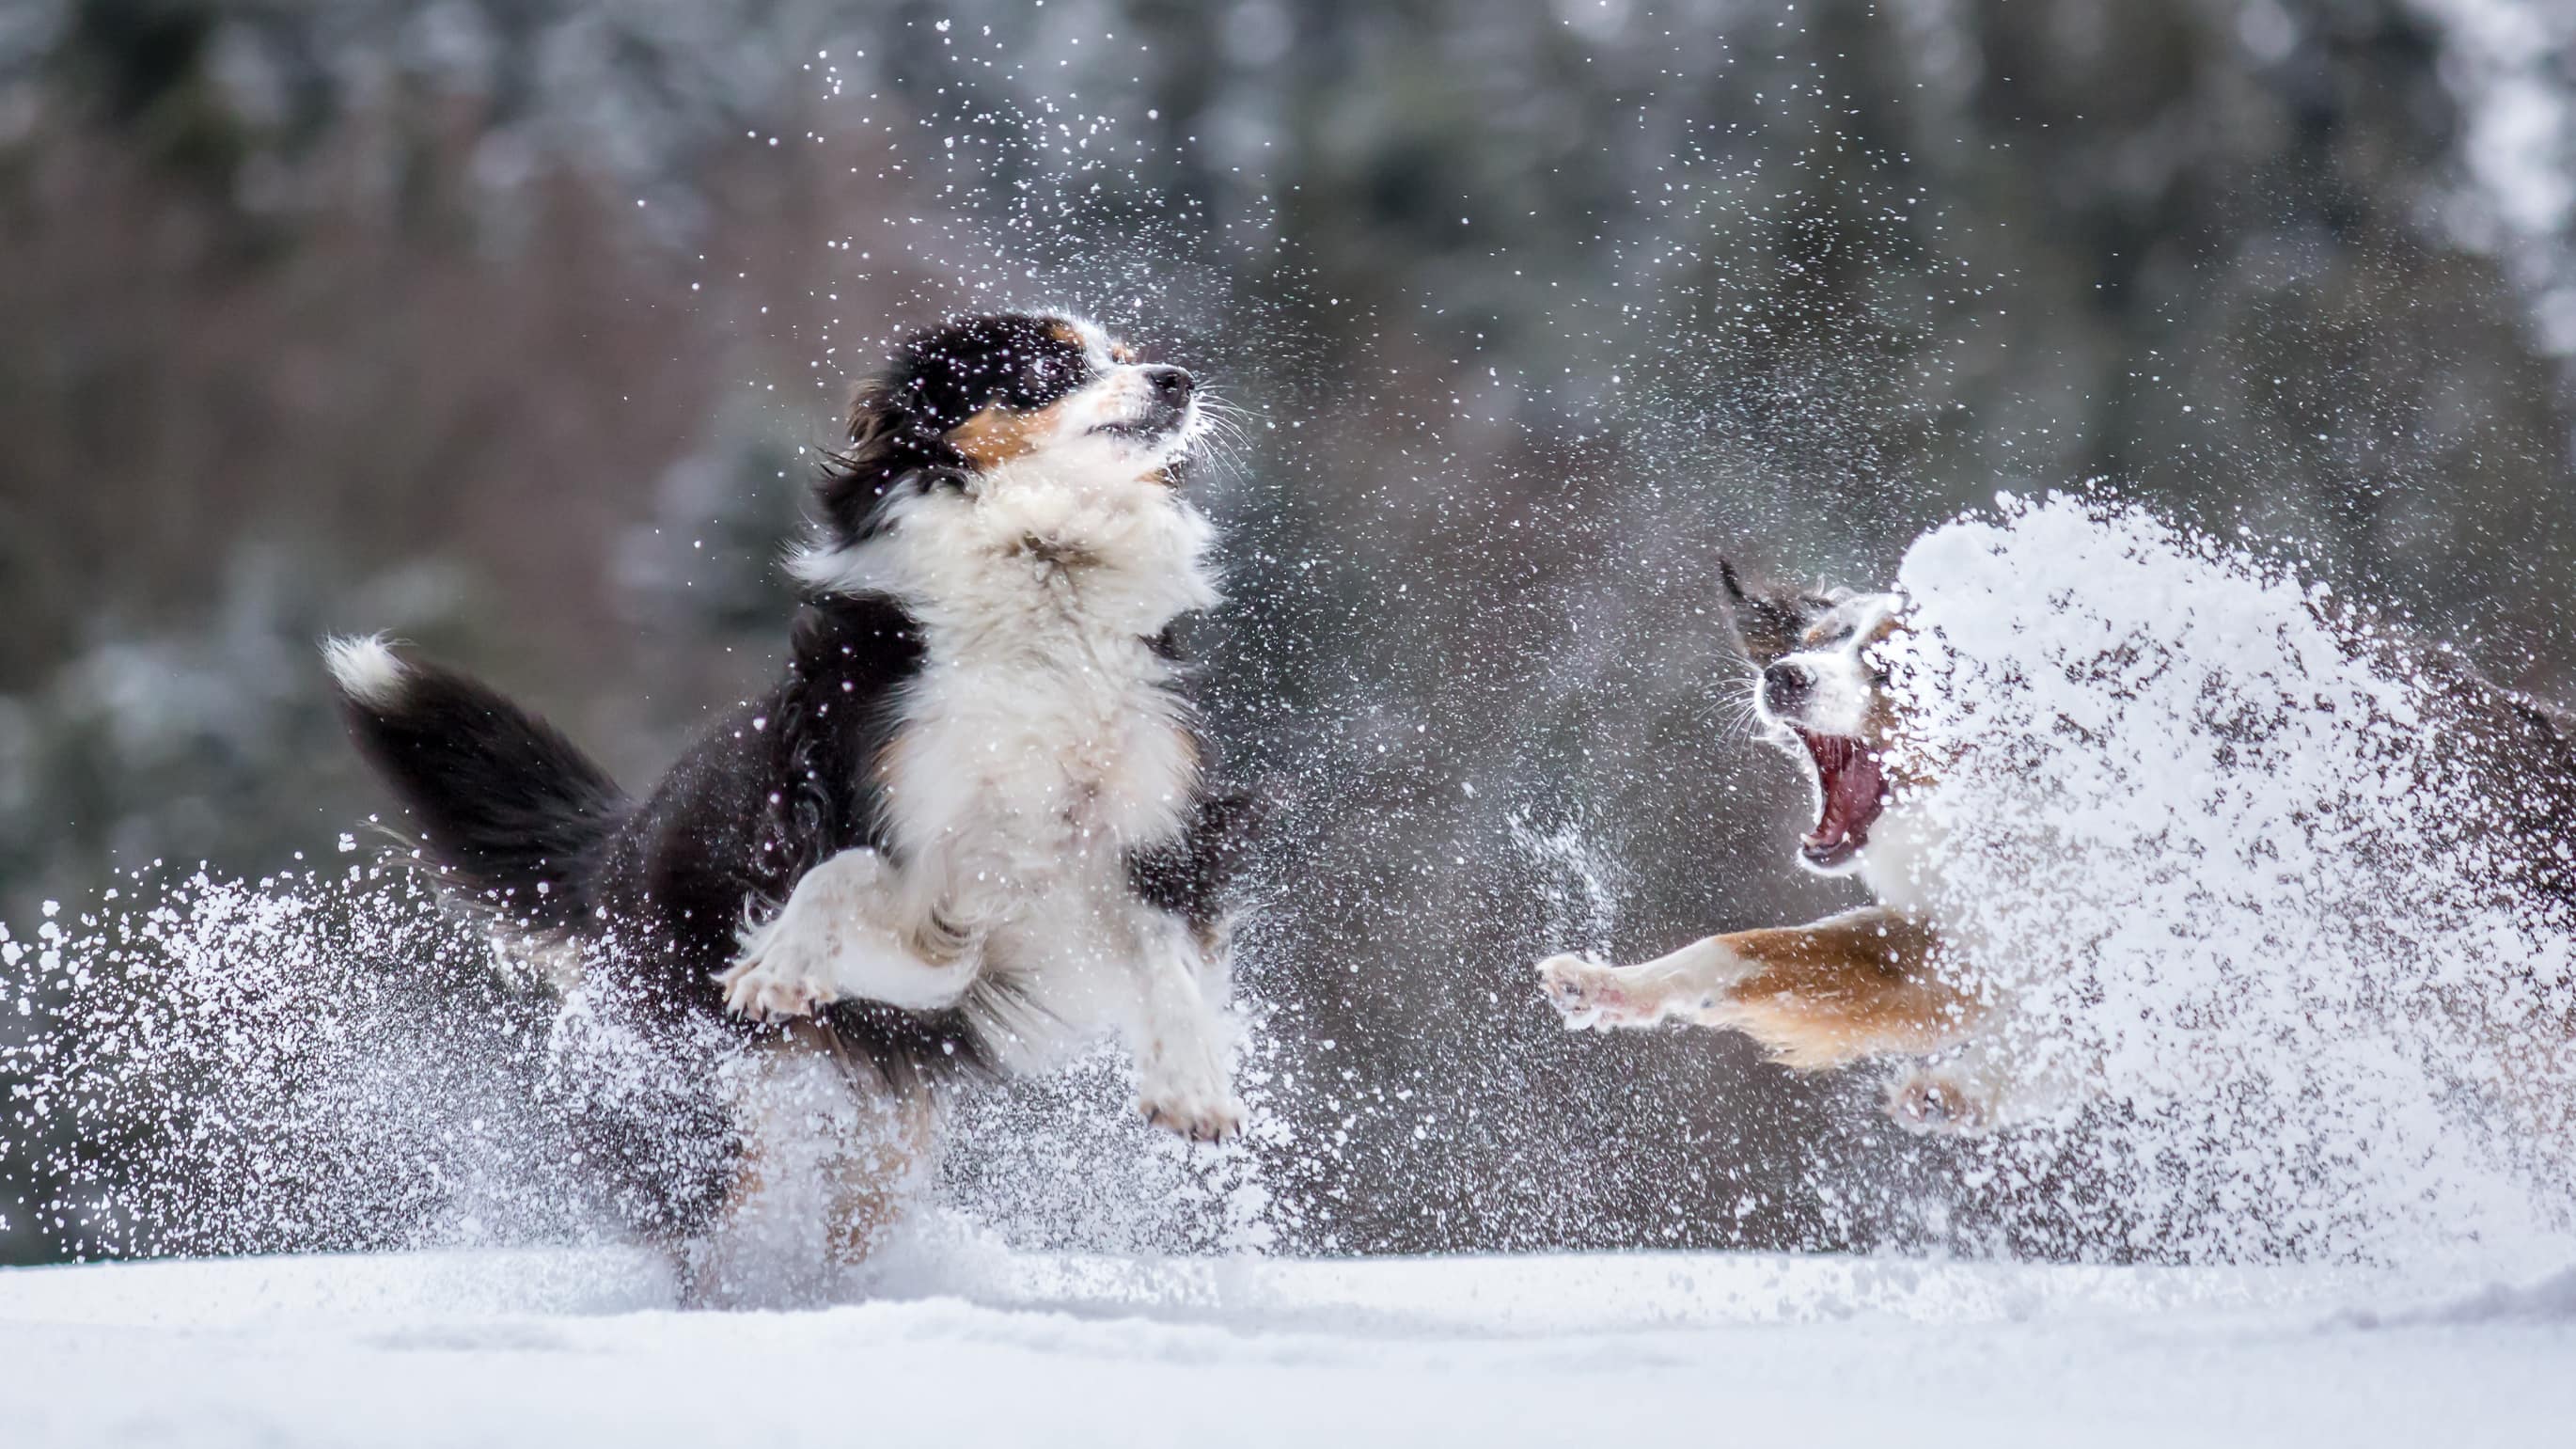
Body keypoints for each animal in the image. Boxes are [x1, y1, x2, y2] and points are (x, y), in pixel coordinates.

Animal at [326, 310, 1251, 1288]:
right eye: (1045, 364)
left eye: (1126, 356)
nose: (1178, 380)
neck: (1048, 559)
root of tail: (622, 841)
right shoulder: (898, 845)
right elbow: (838, 871)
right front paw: (781, 960)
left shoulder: (1132, 848)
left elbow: (1167, 950)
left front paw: (1192, 1082)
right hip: (702, 1111)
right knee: (713, 1225)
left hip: (879, 1138)